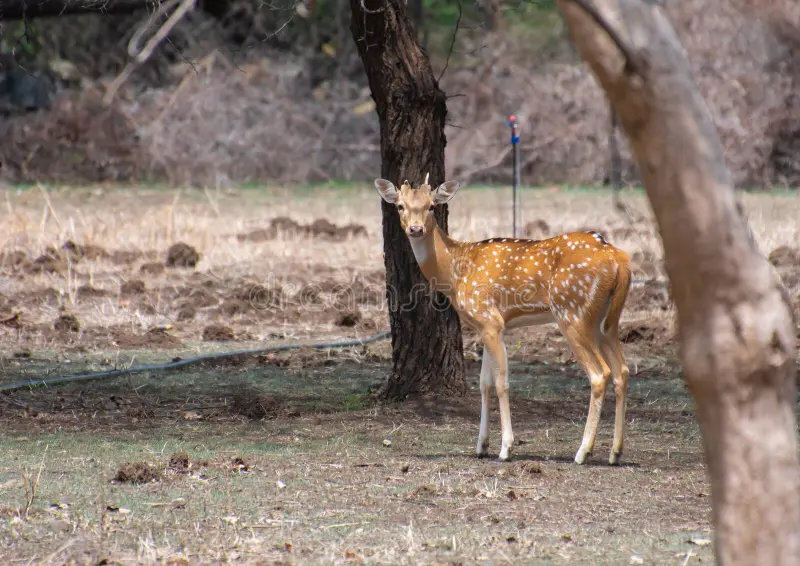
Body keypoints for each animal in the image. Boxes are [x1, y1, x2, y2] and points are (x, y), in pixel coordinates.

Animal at [375, 175, 632, 465]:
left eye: (431, 206)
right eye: (400, 206)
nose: (416, 229)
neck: (455, 271)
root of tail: (618, 257)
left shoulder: (490, 319)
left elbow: (501, 383)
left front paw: (506, 448)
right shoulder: (487, 325)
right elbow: (484, 384)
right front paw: (481, 446)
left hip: (572, 312)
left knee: (600, 374)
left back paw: (582, 451)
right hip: (606, 320)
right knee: (622, 371)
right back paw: (615, 452)